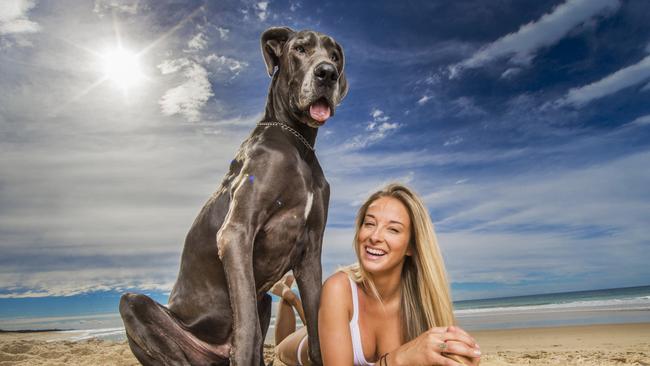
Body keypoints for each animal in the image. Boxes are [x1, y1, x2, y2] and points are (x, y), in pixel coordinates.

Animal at [119, 26, 346, 366]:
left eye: (334, 56)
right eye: (300, 49)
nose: (328, 73)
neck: (297, 144)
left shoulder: (311, 252)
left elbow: (317, 330)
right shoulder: (236, 233)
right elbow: (247, 329)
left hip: (263, 298)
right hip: (135, 305)